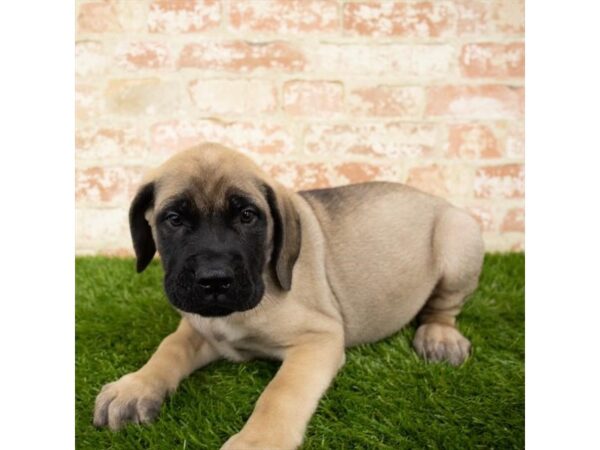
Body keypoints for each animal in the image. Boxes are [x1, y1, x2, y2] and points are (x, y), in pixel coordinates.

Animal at [95, 142, 488, 448]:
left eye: (248, 216)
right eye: (174, 219)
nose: (214, 280)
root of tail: (438, 200)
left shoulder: (319, 339)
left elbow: (281, 392)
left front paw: (258, 441)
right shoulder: (200, 328)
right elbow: (168, 349)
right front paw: (135, 387)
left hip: (457, 239)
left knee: (444, 307)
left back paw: (440, 336)